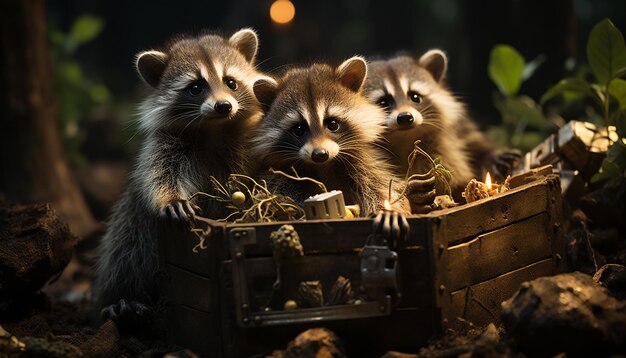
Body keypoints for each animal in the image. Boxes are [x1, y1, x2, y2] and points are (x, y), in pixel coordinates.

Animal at [94, 28, 272, 314]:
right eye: (196, 88)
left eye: (231, 82)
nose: (224, 106)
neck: (214, 128)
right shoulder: (165, 144)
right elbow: (160, 173)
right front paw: (171, 198)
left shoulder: (248, 143)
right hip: (130, 221)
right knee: (125, 249)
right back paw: (121, 296)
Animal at [249, 57, 410, 217]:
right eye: (299, 129)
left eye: (333, 124)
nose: (320, 154)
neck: (323, 166)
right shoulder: (281, 172)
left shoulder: (363, 164)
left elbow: (376, 187)